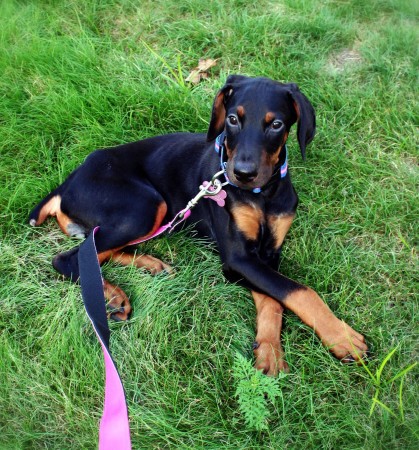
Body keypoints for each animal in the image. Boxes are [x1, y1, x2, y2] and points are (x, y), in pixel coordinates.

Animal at [29, 75, 368, 374]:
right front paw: (342, 336)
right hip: (145, 206)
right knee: (71, 258)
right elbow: (298, 291)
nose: (242, 174)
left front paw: (270, 351)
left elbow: (275, 298)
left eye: (276, 124)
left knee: (97, 252)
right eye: (232, 119)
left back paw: (145, 269)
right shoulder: (237, 259)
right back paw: (111, 295)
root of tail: (69, 181)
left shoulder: (269, 251)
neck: (263, 194)